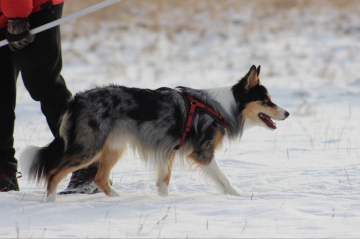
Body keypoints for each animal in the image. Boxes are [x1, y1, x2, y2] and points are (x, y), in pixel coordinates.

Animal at [20, 65, 290, 202]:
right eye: (266, 101)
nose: (287, 113)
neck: (226, 107)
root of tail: (77, 99)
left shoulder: (168, 150)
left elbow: (164, 181)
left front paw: (163, 203)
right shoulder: (203, 153)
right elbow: (225, 180)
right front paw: (240, 197)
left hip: (113, 147)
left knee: (99, 179)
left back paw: (117, 198)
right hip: (90, 147)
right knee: (54, 173)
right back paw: (50, 204)